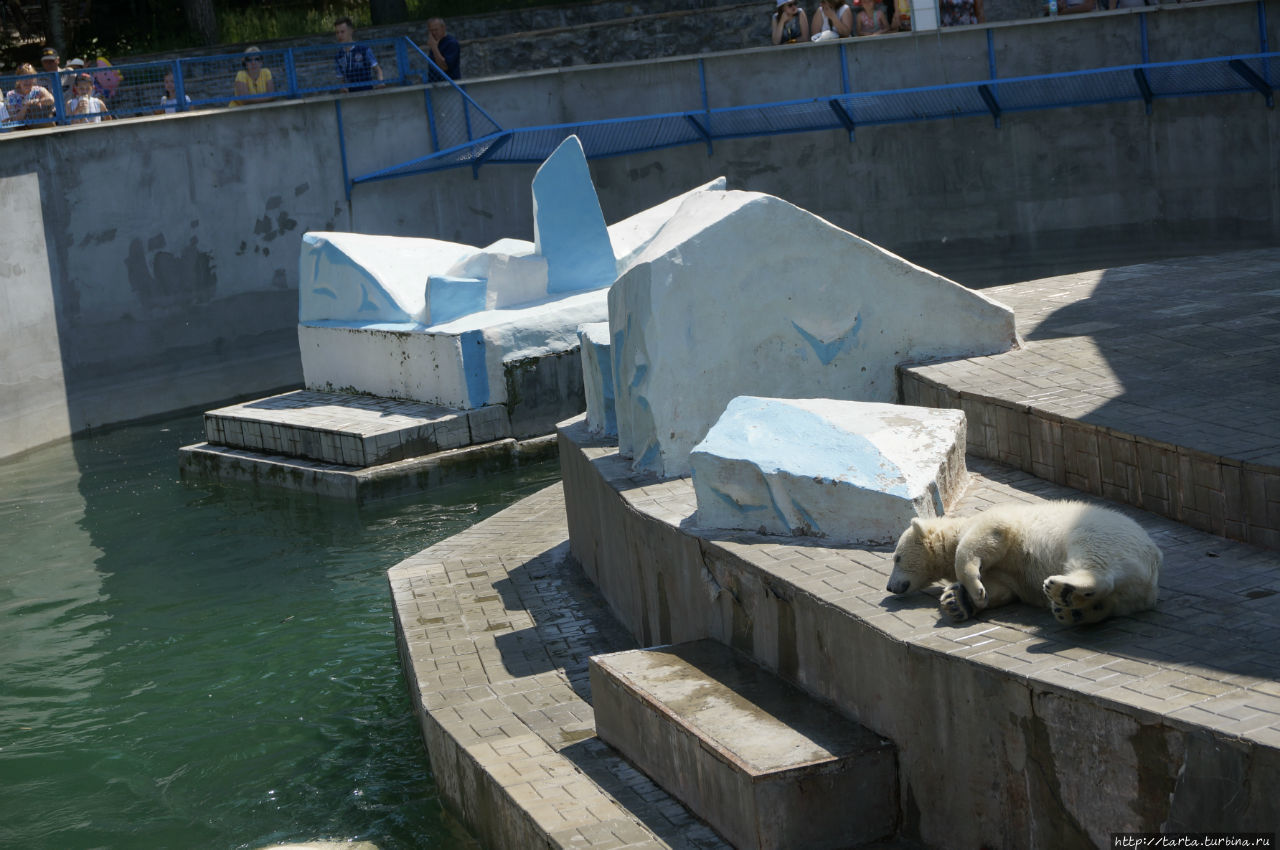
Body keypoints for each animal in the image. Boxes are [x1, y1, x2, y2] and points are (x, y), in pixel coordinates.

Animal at [890, 499, 1162, 624]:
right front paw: (957, 601)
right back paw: (1072, 610)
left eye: (896, 557)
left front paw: (973, 591)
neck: (955, 530)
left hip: (1101, 535)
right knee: (1112, 601)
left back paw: (1062, 589)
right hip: (1128, 592)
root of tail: (1152, 561)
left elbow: (983, 538)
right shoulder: (1005, 574)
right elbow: (1002, 589)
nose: (889, 586)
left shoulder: (996, 521)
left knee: (1092, 557)